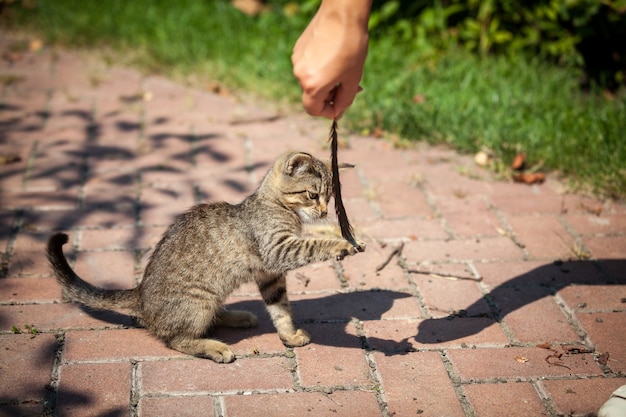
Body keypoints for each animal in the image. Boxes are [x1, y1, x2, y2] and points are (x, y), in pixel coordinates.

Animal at [46, 151, 364, 362]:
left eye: (330, 198)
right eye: (312, 195)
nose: (324, 212)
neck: (275, 205)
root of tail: (141, 293)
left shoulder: (270, 275)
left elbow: (280, 309)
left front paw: (289, 335)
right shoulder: (277, 250)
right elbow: (313, 245)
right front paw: (340, 245)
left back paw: (236, 317)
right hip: (198, 301)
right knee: (174, 338)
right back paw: (214, 347)